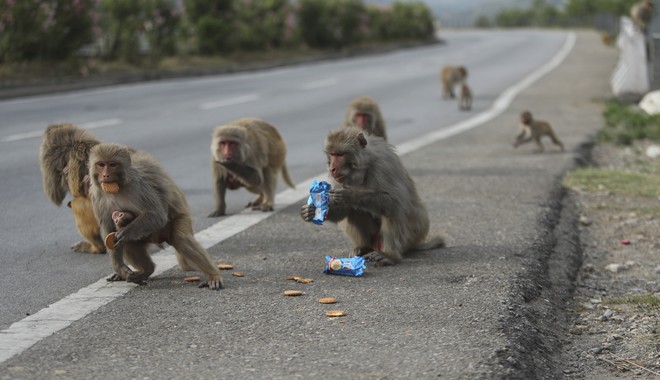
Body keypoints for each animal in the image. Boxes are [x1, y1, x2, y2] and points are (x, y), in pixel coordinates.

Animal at [89, 144, 223, 290]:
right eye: (101, 164)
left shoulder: (138, 186)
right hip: (144, 236)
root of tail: (159, 238)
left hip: (180, 218)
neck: (118, 188)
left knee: (181, 238)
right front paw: (120, 269)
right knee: (128, 241)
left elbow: (156, 215)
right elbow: (110, 232)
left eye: (112, 164)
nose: (105, 175)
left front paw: (124, 233)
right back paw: (147, 269)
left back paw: (213, 275)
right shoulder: (98, 197)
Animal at [300, 126, 446, 266]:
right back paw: (363, 247)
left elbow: (394, 200)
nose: (332, 168)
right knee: (355, 211)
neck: (362, 166)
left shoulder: (383, 164)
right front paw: (312, 210)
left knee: (392, 211)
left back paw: (390, 256)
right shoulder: (337, 179)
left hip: (412, 235)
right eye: (332, 154)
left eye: (340, 154)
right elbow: (342, 210)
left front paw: (350, 195)